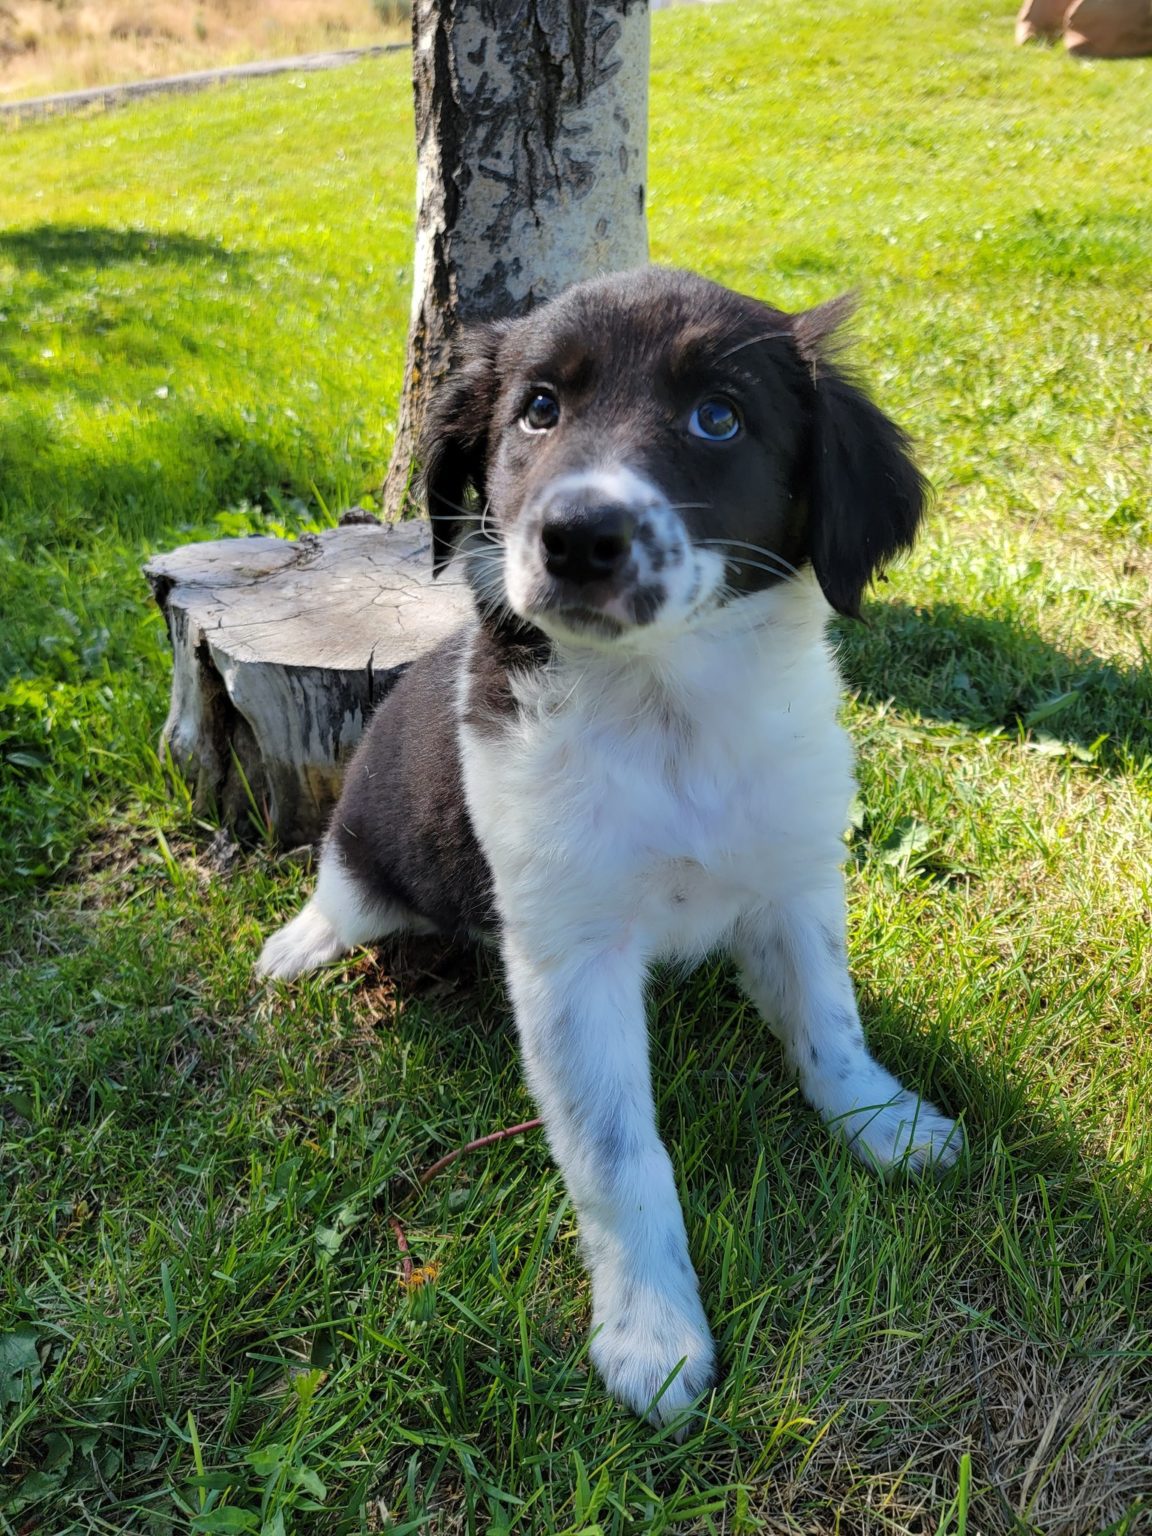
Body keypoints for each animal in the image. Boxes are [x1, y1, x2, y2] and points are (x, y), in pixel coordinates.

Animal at [261, 264, 964, 1425]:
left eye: (719, 417)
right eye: (538, 409)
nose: (578, 538)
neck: (666, 709)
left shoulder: (793, 882)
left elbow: (830, 1023)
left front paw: (885, 1122)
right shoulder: (568, 957)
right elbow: (618, 1155)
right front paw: (653, 1332)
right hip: (372, 840)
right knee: (343, 888)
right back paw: (300, 942)